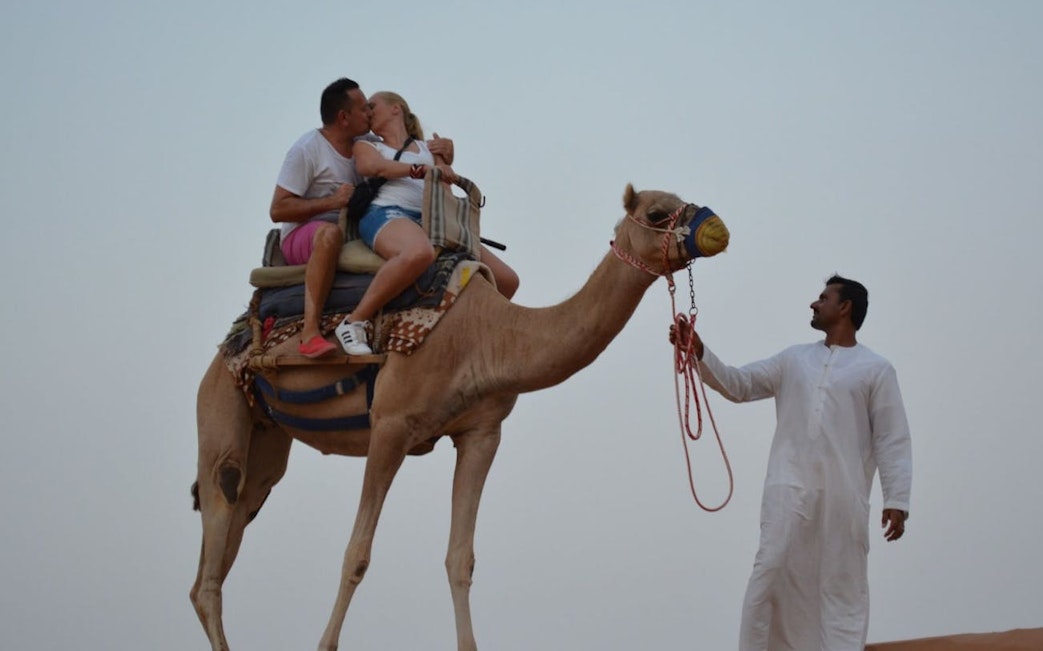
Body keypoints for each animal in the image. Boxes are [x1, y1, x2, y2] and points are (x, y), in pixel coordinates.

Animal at [191, 183, 730, 651]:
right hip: (219, 406)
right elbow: (356, 554)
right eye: (657, 213)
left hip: (267, 440)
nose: (717, 228)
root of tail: (228, 343)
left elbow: (460, 559)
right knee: (216, 533)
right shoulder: (390, 425)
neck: (484, 335)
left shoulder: (481, 433)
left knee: (226, 535)